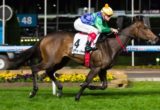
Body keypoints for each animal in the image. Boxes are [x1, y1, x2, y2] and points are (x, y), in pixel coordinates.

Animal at [9, 19, 158, 100]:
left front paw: (91, 87)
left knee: (50, 72)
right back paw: (33, 92)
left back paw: (60, 90)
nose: (156, 38)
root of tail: (44, 37)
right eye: (145, 28)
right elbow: (86, 81)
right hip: (51, 60)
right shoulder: (95, 68)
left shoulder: (102, 69)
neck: (110, 45)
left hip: (61, 61)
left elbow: (104, 85)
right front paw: (77, 96)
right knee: (35, 68)